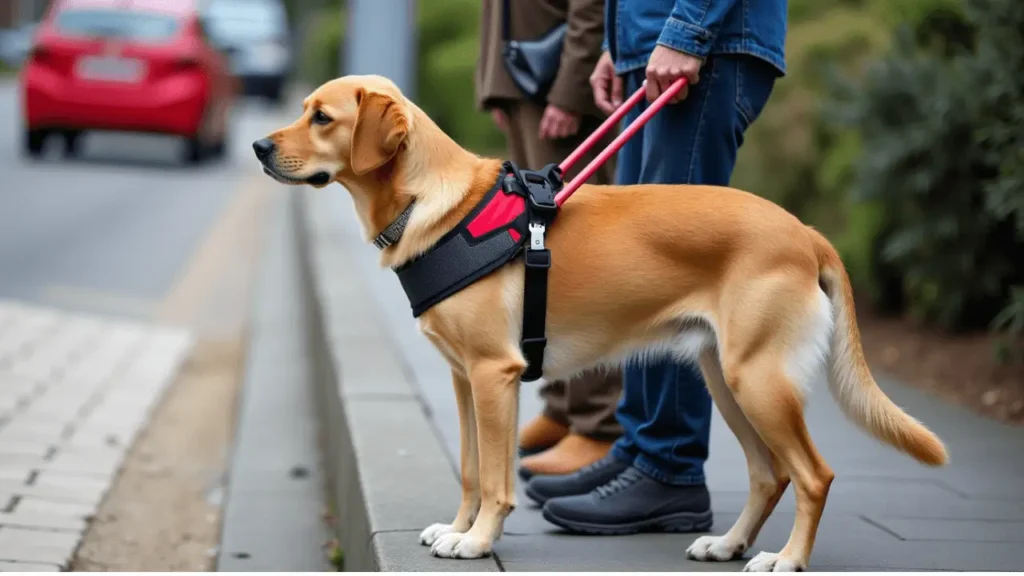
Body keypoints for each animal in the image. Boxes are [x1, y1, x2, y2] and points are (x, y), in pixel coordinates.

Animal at [251, 73, 946, 565]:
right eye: (304, 109)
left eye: (322, 117)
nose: (257, 146)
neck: (435, 204)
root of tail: (804, 231)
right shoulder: (463, 379)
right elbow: (472, 469)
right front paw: (457, 528)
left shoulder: (495, 376)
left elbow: (497, 478)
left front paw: (478, 540)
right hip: (728, 380)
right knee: (768, 473)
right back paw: (728, 545)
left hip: (760, 382)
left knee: (813, 475)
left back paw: (787, 559)